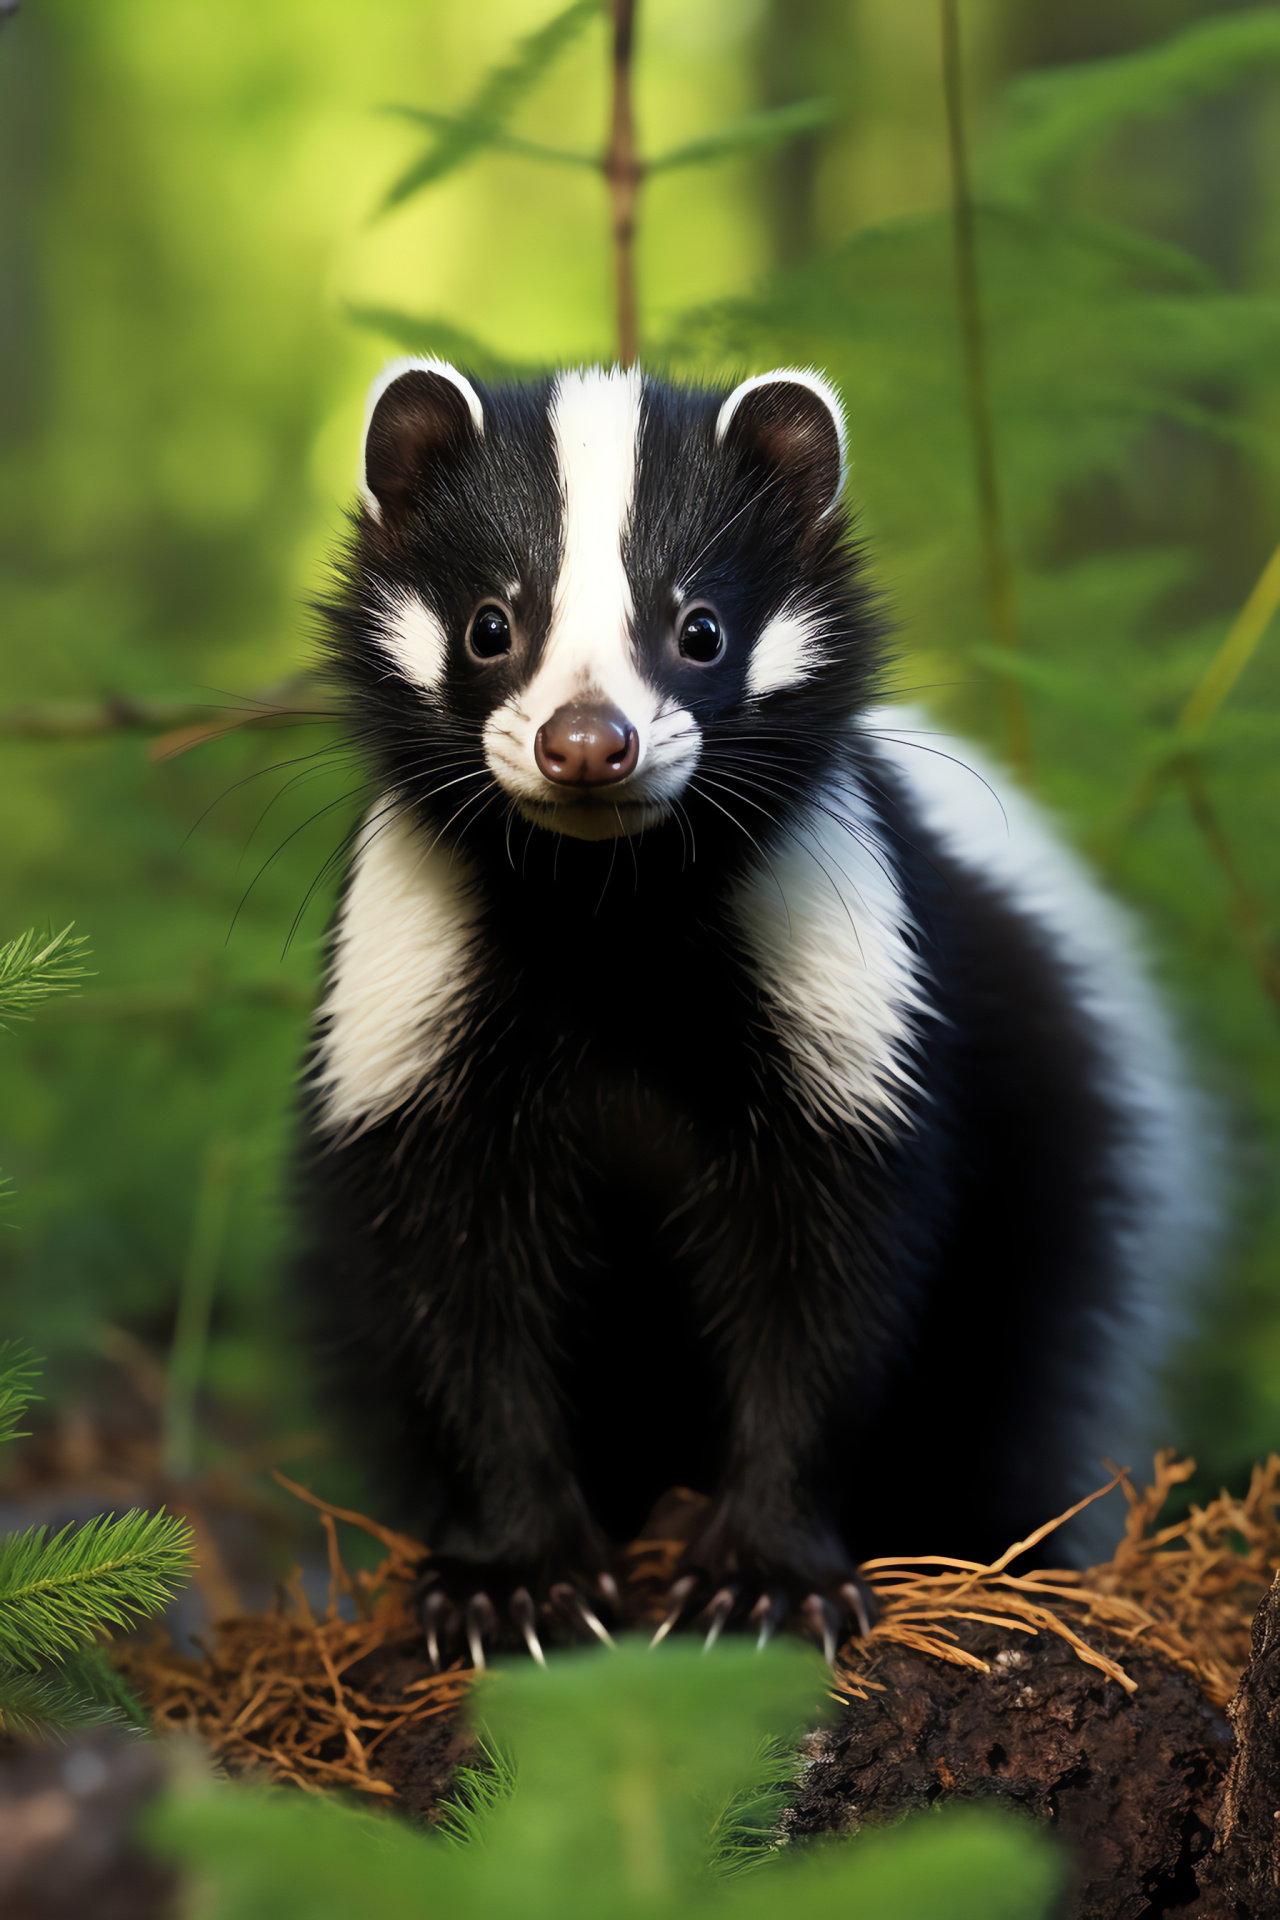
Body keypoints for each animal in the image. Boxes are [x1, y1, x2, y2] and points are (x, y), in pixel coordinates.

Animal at [295, 360, 1205, 1666]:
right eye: (487, 624)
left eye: (700, 629)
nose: (588, 744)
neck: (607, 922)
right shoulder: (420, 1019)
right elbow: (456, 1294)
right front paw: (512, 1581)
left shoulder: (842, 997)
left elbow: (829, 1286)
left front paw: (763, 1580)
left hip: (1060, 1171)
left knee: (1026, 1376)